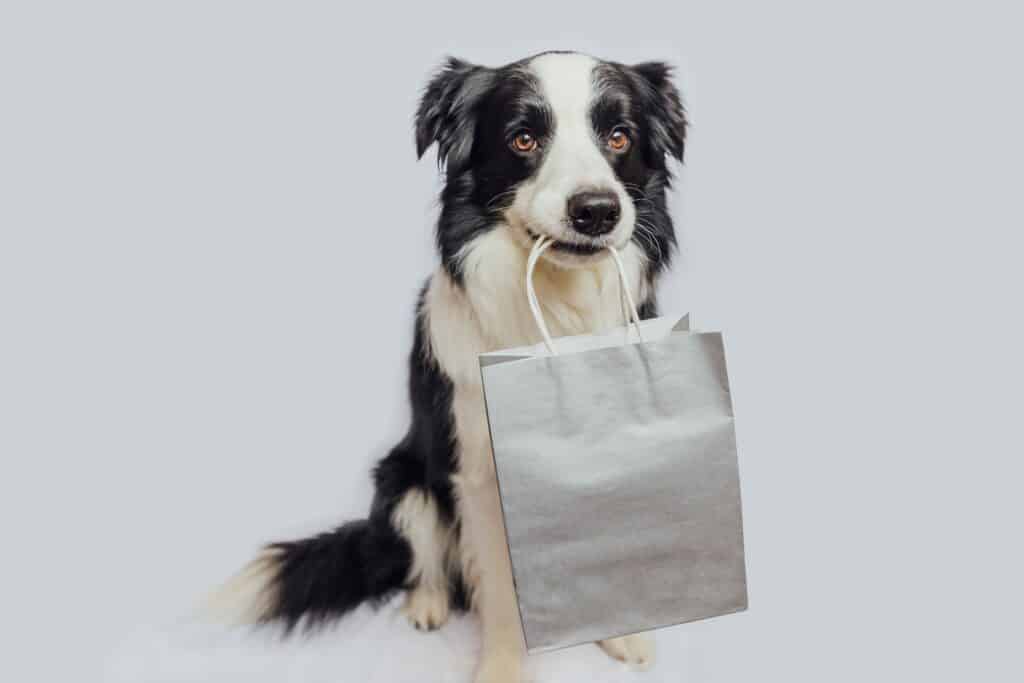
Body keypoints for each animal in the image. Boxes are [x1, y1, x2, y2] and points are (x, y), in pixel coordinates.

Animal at [218, 52, 688, 683]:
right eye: (522, 139)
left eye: (620, 136)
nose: (596, 210)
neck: (557, 309)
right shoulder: (481, 474)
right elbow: (501, 593)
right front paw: (502, 670)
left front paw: (623, 633)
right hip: (403, 483)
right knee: (425, 561)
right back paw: (429, 604)